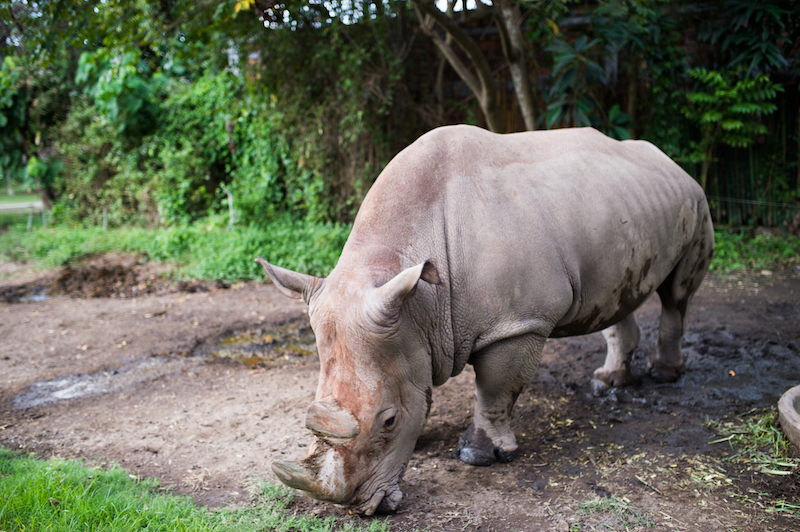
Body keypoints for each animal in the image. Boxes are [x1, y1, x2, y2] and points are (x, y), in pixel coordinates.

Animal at [256, 125, 714, 515]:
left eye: (388, 421)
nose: (358, 507)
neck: (420, 301)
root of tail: (672, 162)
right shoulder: (410, 327)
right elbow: (424, 388)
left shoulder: (518, 323)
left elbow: (495, 389)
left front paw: (481, 455)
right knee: (620, 295)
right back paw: (608, 383)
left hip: (696, 200)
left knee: (676, 295)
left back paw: (665, 376)